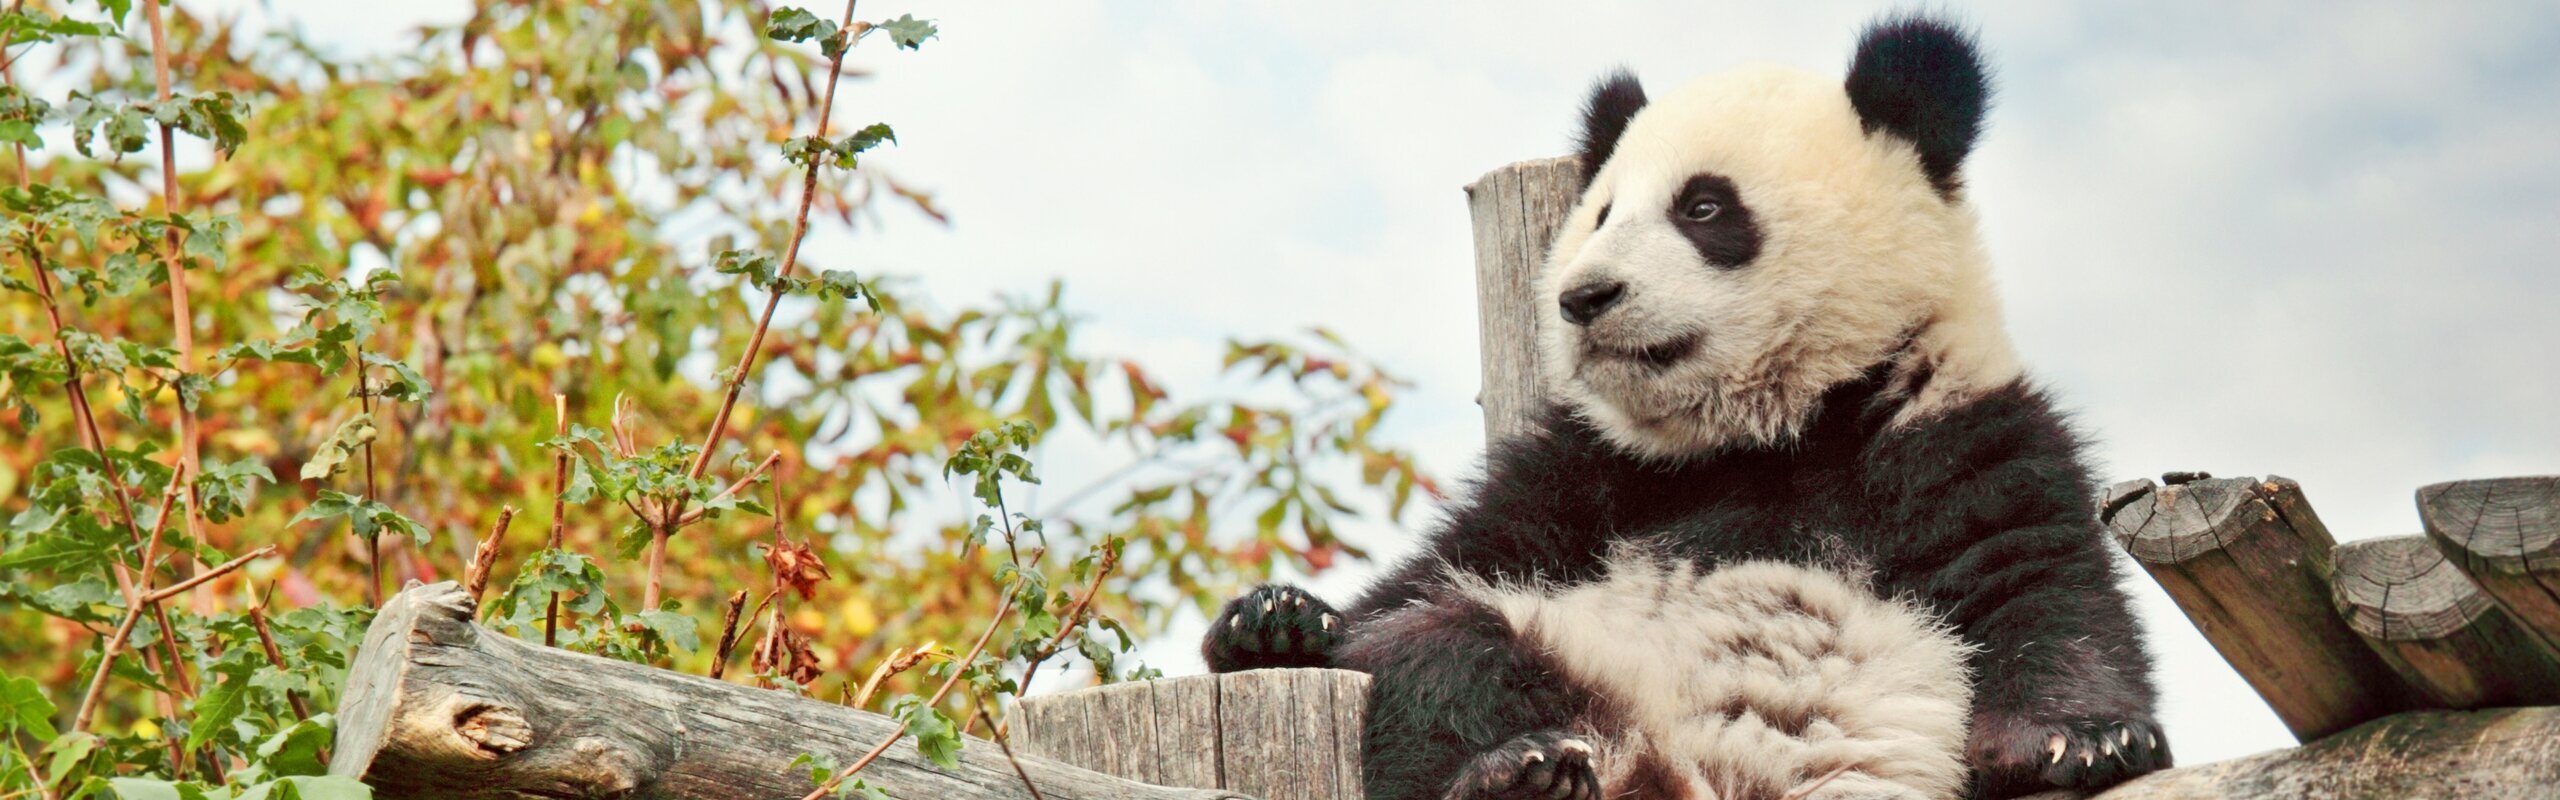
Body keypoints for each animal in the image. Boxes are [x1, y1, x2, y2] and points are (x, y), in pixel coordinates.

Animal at [1208, 12, 2170, 800]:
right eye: (1599, 215)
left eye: (1703, 206)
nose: (1585, 296)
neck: (1767, 428)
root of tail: (1669, 774)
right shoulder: (1584, 471)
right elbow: (1438, 569)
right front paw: (1276, 620)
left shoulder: (1949, 421)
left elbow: (2038, 578)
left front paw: (2083, 740)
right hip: (1572, 652)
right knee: (1443, 641)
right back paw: (1518, 769)